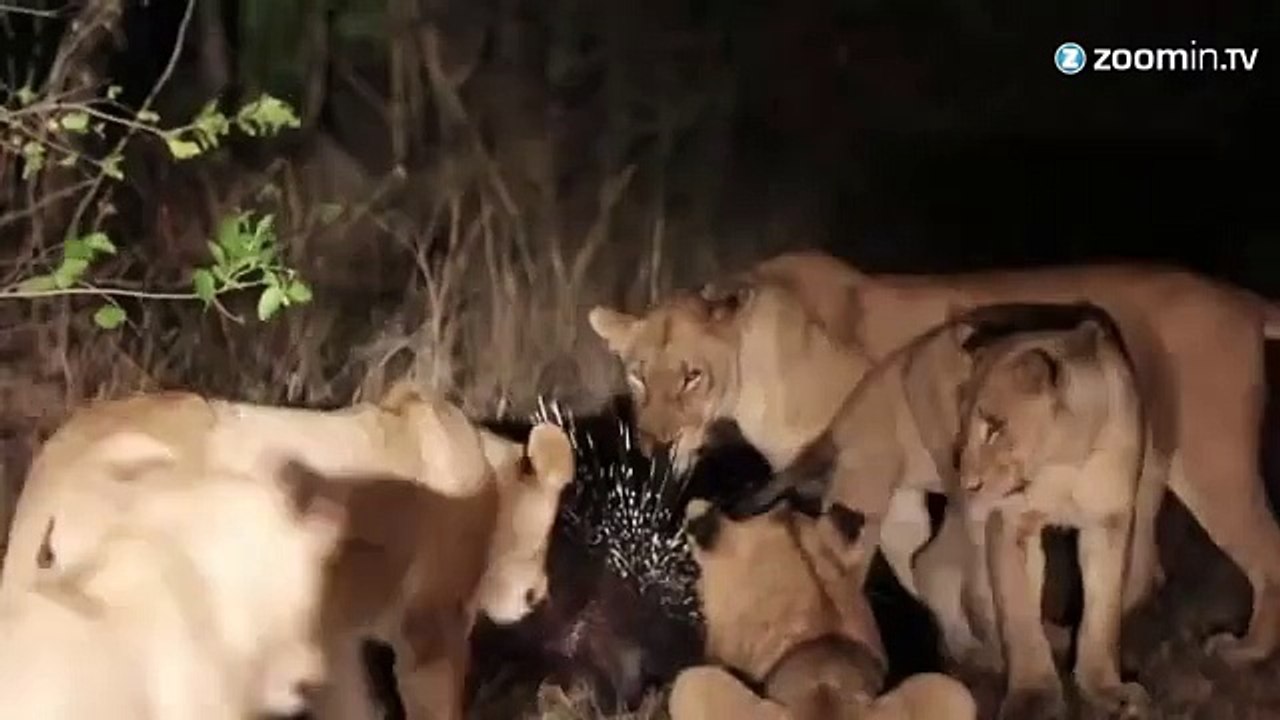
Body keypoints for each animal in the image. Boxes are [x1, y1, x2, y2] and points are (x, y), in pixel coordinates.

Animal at [588, 249, 1280, 665]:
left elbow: (914, 567)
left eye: (692, 377)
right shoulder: (892, 487)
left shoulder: (872, 470)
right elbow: (919, 568)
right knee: (1141, 566)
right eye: (638, 376)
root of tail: (1243, 299)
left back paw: (1247, 651)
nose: (652, 446)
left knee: (1264, 548)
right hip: (1146, 466)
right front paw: (975, 649)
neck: (760, 367)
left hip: (1213, 466)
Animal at [954, 308, 1152, 719]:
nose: (967, 482)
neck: (1064, 464)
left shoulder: (1110, 523)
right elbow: (1019, 616)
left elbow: (1102, 614)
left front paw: (1106, 690)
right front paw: (1033, 698)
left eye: (994, 427)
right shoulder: (1008, 524)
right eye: (964, 426)